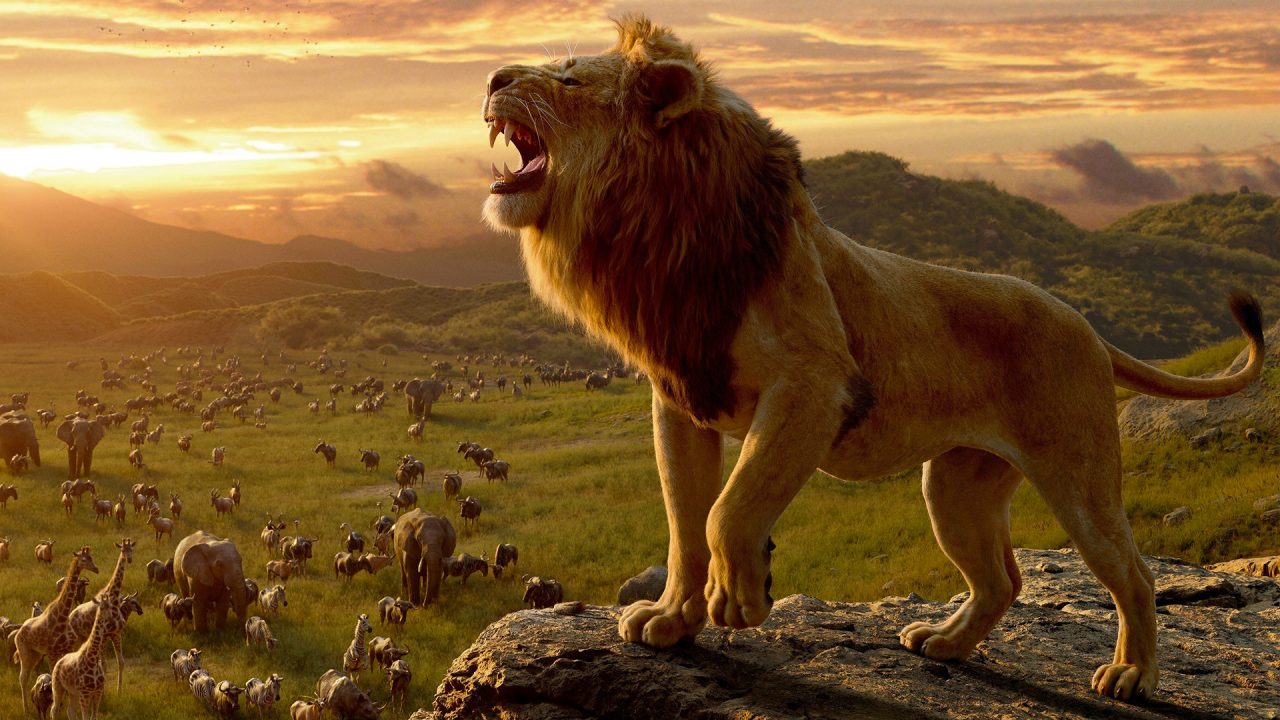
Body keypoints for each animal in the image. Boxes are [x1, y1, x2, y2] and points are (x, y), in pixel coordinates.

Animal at [480, 16, 1265, 702]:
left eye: (568, 78)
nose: (490, 78)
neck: (656, 233)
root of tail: (1088, 326)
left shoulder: (815, 385)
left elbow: (727, 511)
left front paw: (741, 599)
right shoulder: (680, 398)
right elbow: (683, 524)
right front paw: (672, 621)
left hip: (1078, 476)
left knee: (1133, 572)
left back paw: (1131, 674)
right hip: (955, 487)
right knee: (1002, 580)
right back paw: (943, 644)